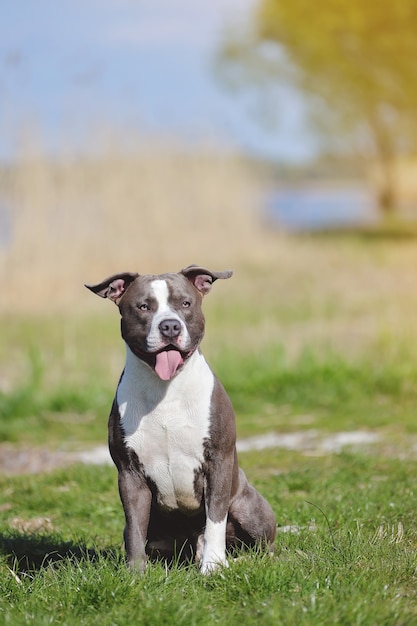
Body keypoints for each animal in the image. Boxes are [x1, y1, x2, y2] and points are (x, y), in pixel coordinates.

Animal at [85, 264, 274, 572]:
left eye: (185, 303)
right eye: (143, 306)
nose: (170, 326)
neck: (165, 389)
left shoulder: (218, 462)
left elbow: (215, 519)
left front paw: (213, 566)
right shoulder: (129, 473)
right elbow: (134, 527)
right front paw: (135, 574)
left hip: (249, 509)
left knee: (262, 546)